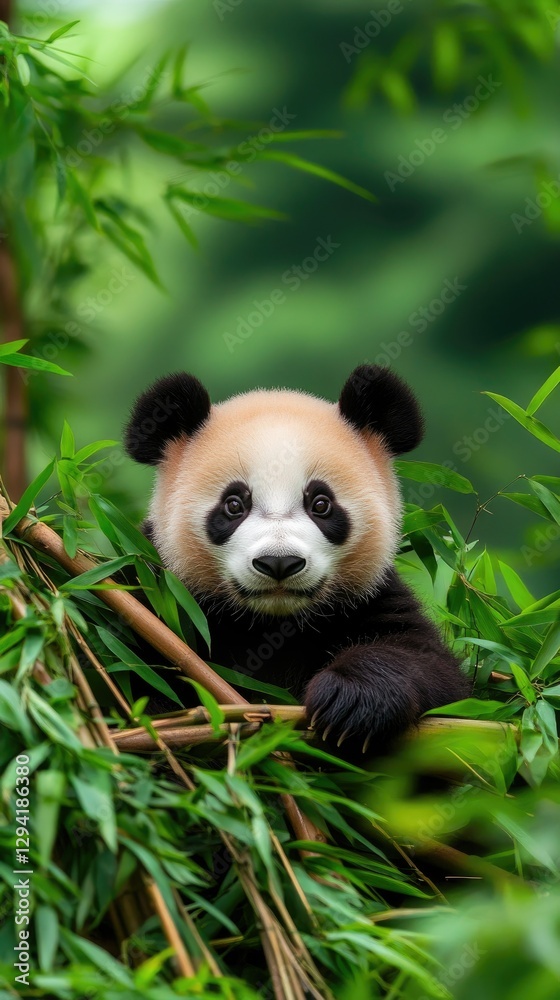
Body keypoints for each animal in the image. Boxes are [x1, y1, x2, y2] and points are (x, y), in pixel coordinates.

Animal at [124, 364, 469, 758]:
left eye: (321, 503)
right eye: (234, 504)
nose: (279, 563)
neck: (271, 623)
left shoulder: (369, 595)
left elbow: (429, 666)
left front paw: (349, 702)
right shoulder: (155, 588)